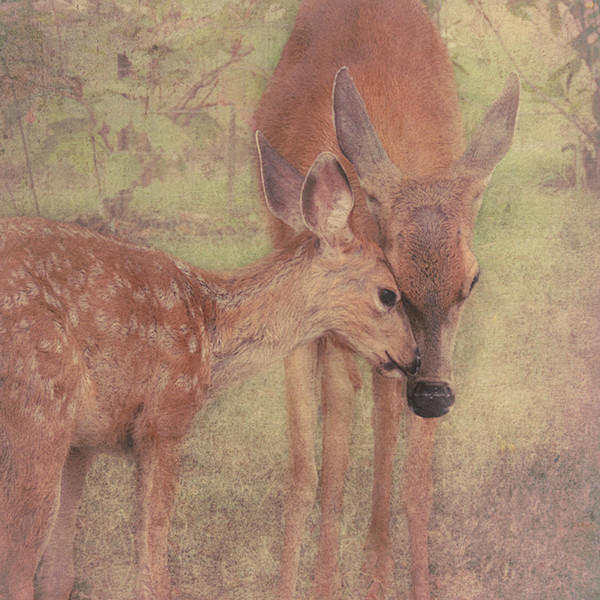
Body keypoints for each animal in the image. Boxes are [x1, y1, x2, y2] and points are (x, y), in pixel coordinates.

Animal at [0, 132, 422, 600]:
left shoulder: (84, 443)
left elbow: (59, 574)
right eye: (389, 294)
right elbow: (152, 552)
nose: (413, 356)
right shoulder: (165, 418)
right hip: (40, 399)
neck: (211, 326)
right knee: (15, 564)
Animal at [254, 1, 520, 600]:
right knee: (323, 460)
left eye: (473, 280)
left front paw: (397, 579)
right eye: (390, 281)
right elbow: (326, 476)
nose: (434, 397)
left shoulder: (425, 354)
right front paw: (326, 582)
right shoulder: (337, 334)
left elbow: (414, 484)